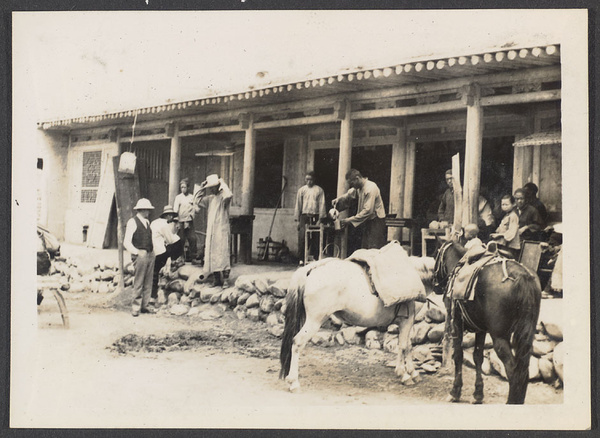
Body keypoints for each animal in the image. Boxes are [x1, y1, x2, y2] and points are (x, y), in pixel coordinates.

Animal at [278, 253, 434, 394]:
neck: (415, 274)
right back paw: (294, 382)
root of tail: (313, 268)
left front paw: (412, 372)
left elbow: (408, 345)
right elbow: (403, 346)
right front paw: (405, 375)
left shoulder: (408, 322)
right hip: (314, 321)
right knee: (297, 342)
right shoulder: (406, 321)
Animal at [434, 241, 540, 406]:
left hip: (499, 337)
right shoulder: (481, 329)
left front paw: (455, 392)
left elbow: (458, 355)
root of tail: (522, 276)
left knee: (513, 371)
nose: (435, 284)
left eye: (436, 254)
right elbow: (478, 357)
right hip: (526, 337)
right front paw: (478, 394)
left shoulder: (456, 323)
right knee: (523, 370)